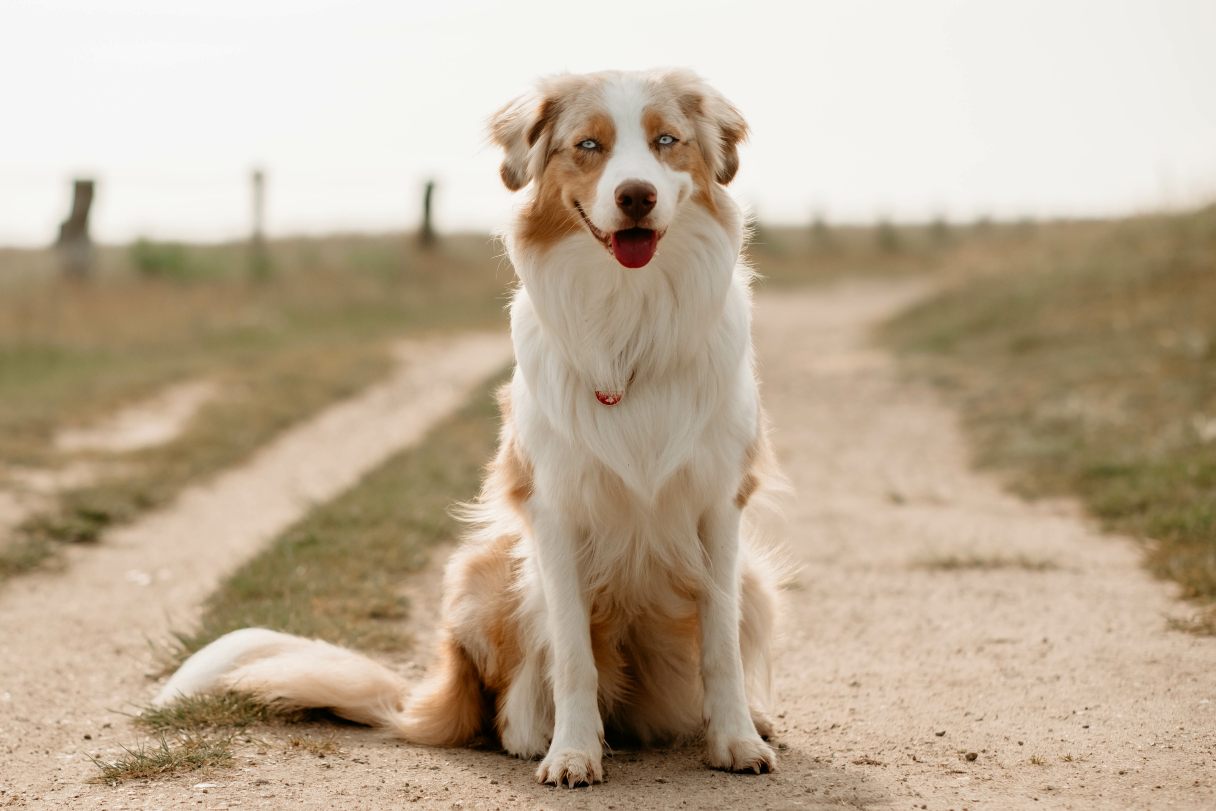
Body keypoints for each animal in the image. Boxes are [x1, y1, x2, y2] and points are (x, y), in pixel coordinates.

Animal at [156, 69, 783, 787]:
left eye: (666, 141)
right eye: (588, 145)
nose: (636, 195)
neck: (632, 319)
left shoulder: (720, 506)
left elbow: (721, 645)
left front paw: (735, 740)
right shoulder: (554, 509)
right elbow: (573, 654)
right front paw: (572, 752)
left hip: (754, 580)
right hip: (489, 571)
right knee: (512, 711)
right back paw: (547, 737)